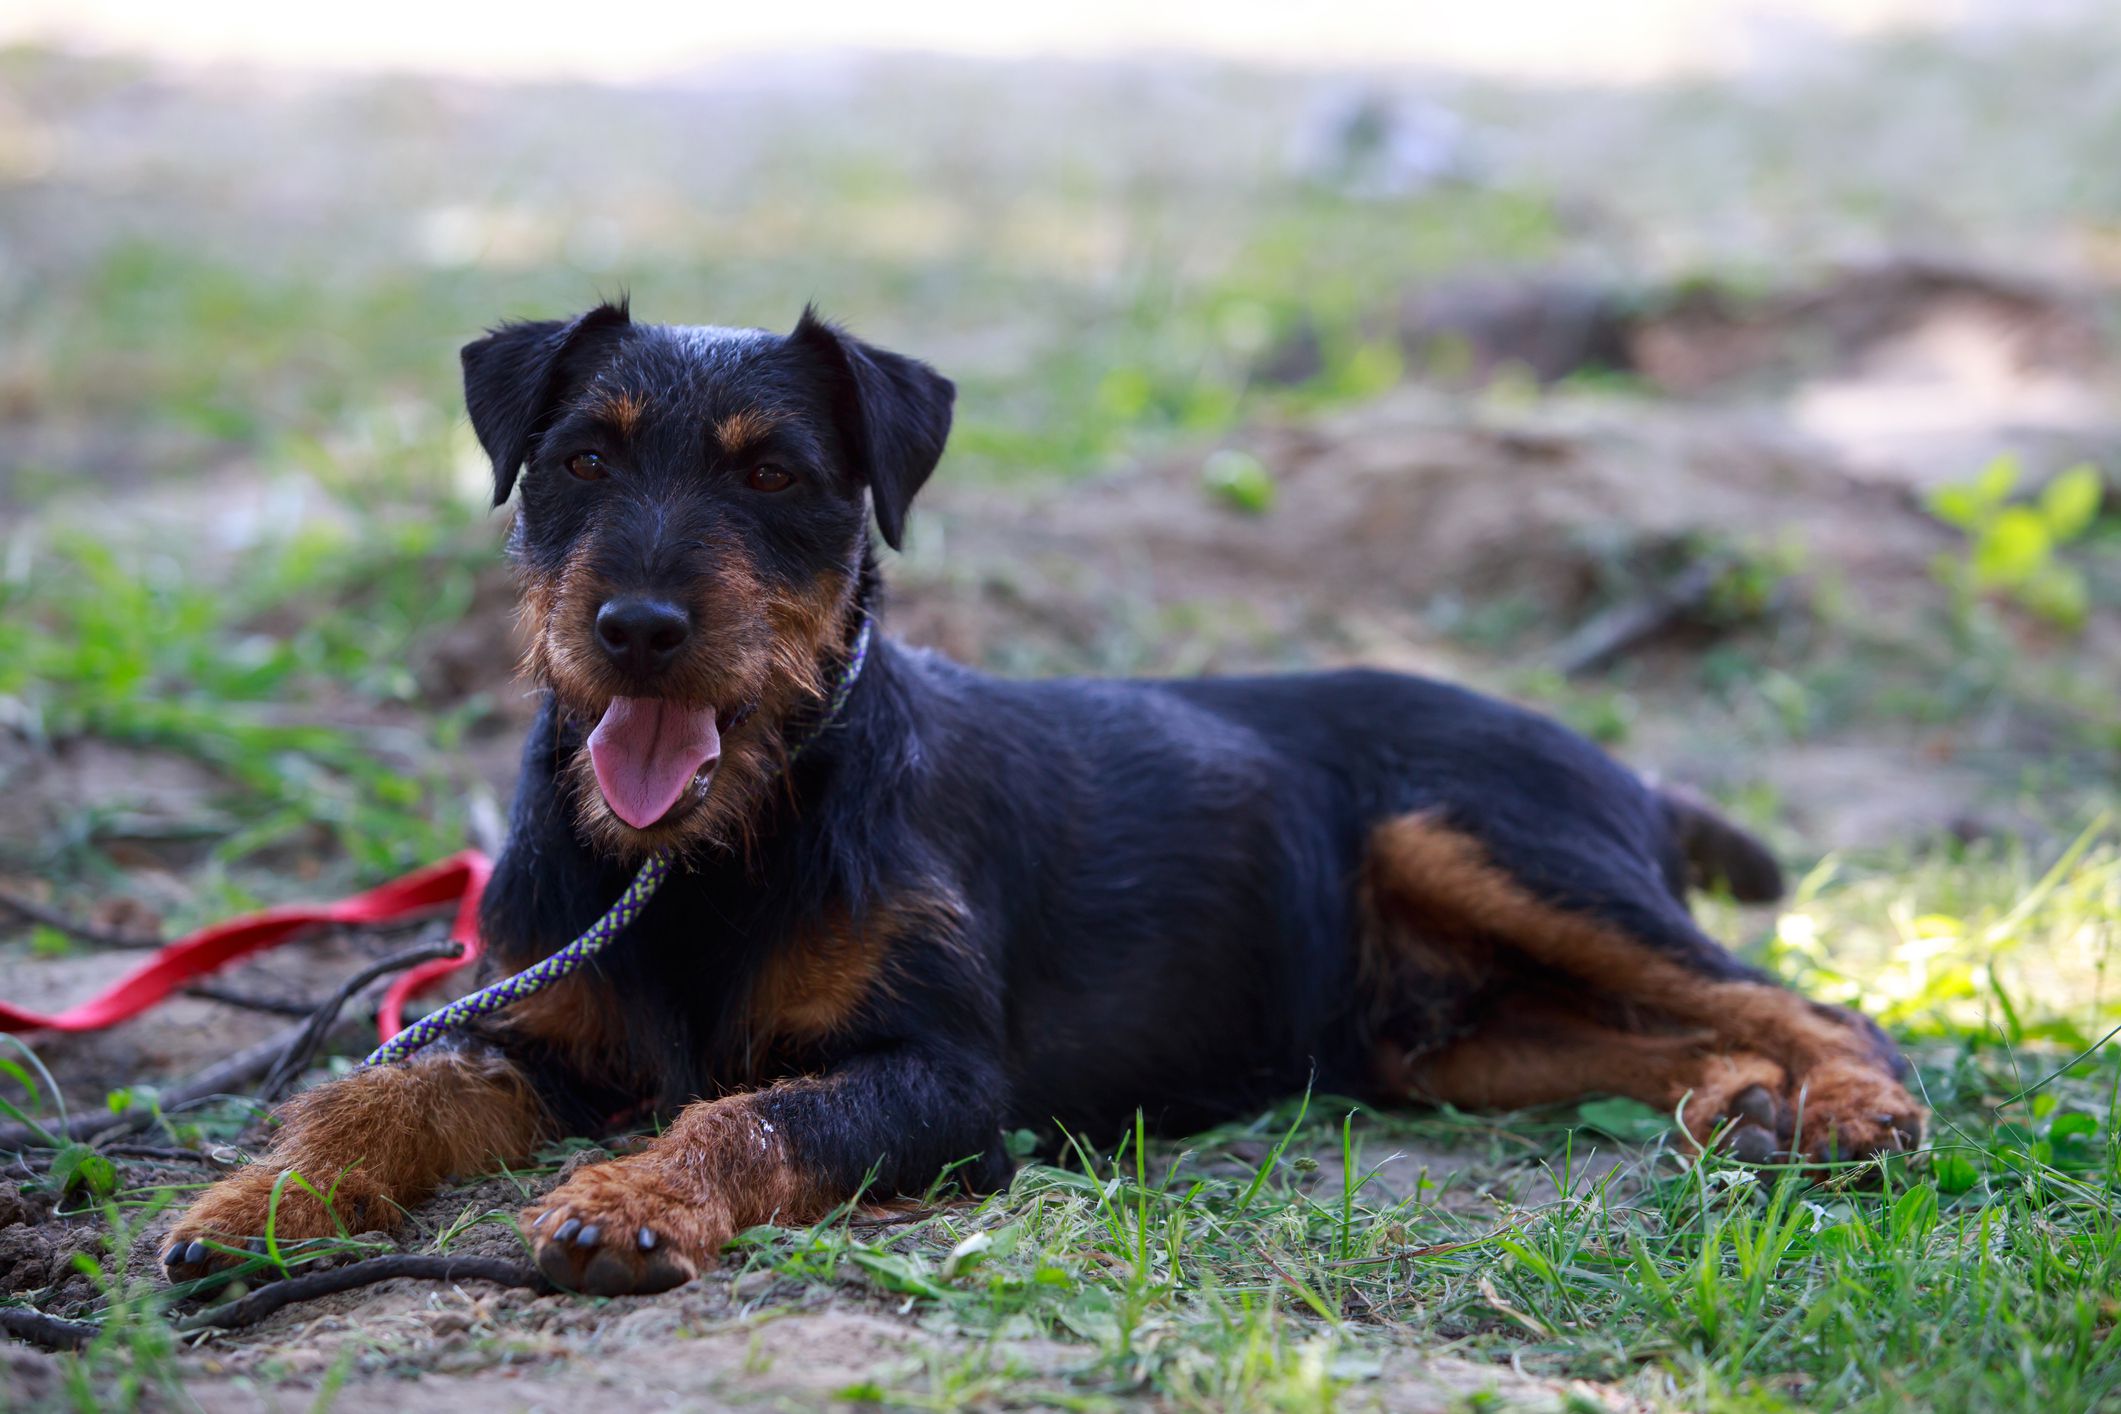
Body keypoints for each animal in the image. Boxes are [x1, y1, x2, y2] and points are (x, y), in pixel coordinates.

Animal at [161, 305, 1925, 1297]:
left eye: (775, 473)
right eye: (579, 459)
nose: (640, 627)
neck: (710, 854)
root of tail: (1628, 767)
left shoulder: (947, 1080)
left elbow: (746, 1108)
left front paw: (629, 1202)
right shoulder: (528, 1033)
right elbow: (382, 1093)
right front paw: (259, 1203)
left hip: (1493, 840)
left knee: (1803, 996)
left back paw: (1847, 1108)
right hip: (1451, 1042)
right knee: (1672, 1029)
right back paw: (1736, 1106)